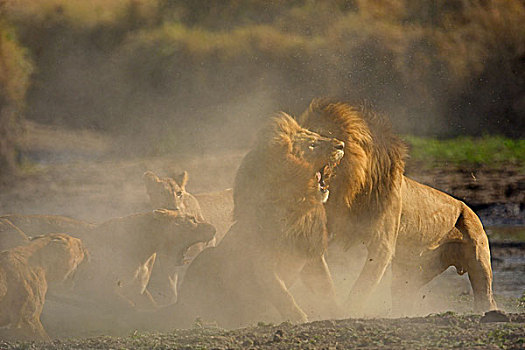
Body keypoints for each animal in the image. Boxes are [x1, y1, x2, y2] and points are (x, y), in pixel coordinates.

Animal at [164, 112, 344, 328]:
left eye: (317, 136)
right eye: (312, 145)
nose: (341, 145)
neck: (297, 212)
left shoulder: (312, 254)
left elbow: (327, 288)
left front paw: (341, 312)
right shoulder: (262, 262)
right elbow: (281, 293)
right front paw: (298, 318)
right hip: (207, 257)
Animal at [298, 99, 496, 314]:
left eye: (324, 134)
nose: (337, 145)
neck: (347, 193)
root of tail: (466, 206)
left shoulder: (382, 244)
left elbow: (362, 286)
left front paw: (348, 311)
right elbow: (323, 279)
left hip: (478, 259)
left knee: (485, 293)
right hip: (410, 274)